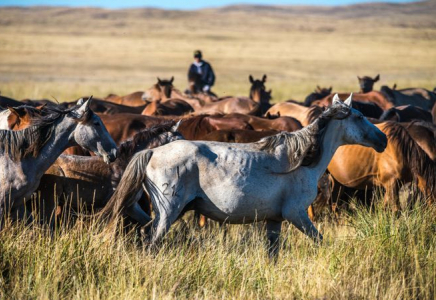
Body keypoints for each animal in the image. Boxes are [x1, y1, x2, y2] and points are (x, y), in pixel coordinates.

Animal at [98, 95, 384, 256]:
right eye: (359, 116)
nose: (382, 139)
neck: (302, 160)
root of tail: (152, 152)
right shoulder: (297, 214)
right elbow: (320, 240)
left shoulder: (275, 220)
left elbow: (273, 254)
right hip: (168, 212)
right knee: (150, 240)